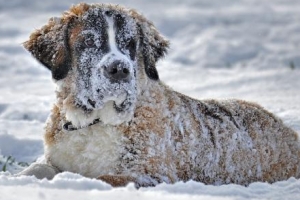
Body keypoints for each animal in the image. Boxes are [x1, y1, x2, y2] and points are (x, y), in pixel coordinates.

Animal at [19, 3, 300, 188]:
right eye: (88, 42)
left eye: (131, 44)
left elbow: (104, 177)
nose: (119, 69)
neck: (95, 122)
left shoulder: (154, 175)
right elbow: (37, 168)